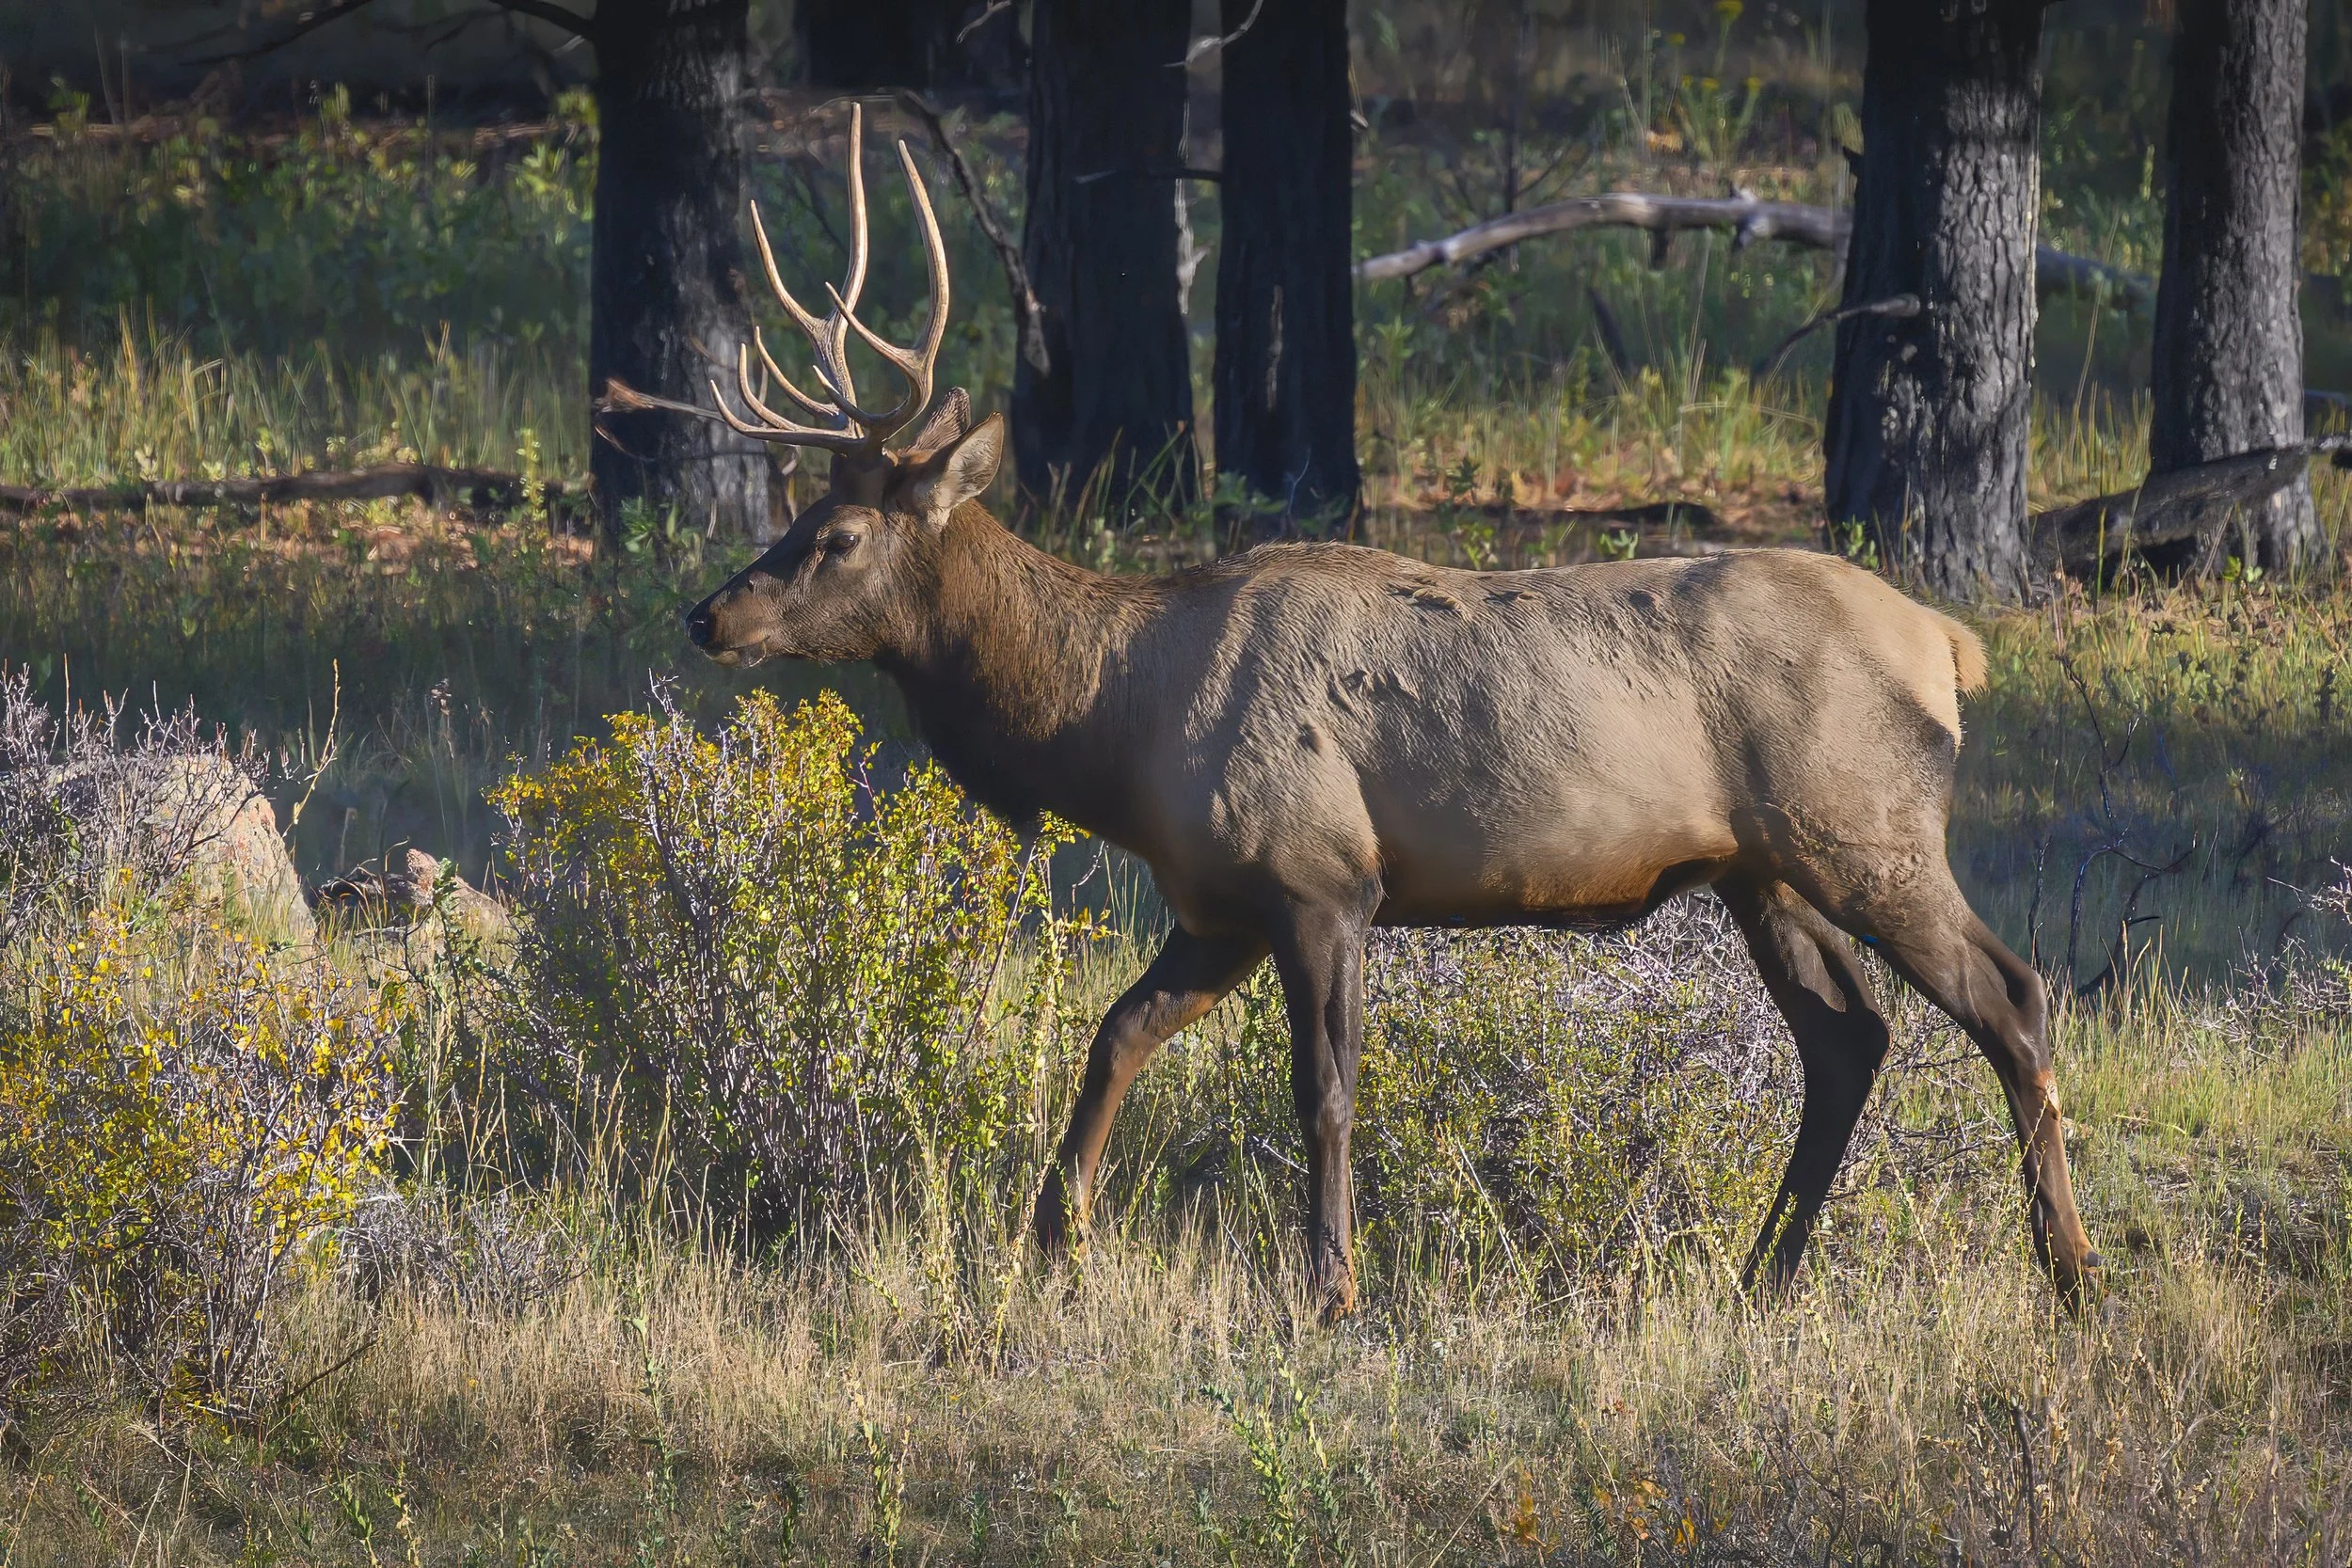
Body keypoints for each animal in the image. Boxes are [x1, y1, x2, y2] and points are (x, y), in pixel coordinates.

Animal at [610, 106, 2100, 1317]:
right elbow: (1114, 1034)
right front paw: (1050, 1238)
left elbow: (1322, 1090)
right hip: (1757, 868)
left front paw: (1327, 1283)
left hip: (1863, 828)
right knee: (1849, 1038)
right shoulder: (1217, 901)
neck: (1117, 728)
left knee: (2011, 996)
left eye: (838, 534)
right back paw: (1764, 1274)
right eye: (795, 514)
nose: (709, 616)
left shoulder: (1321, 873)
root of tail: (1949, 646)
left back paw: (2069, 1273)